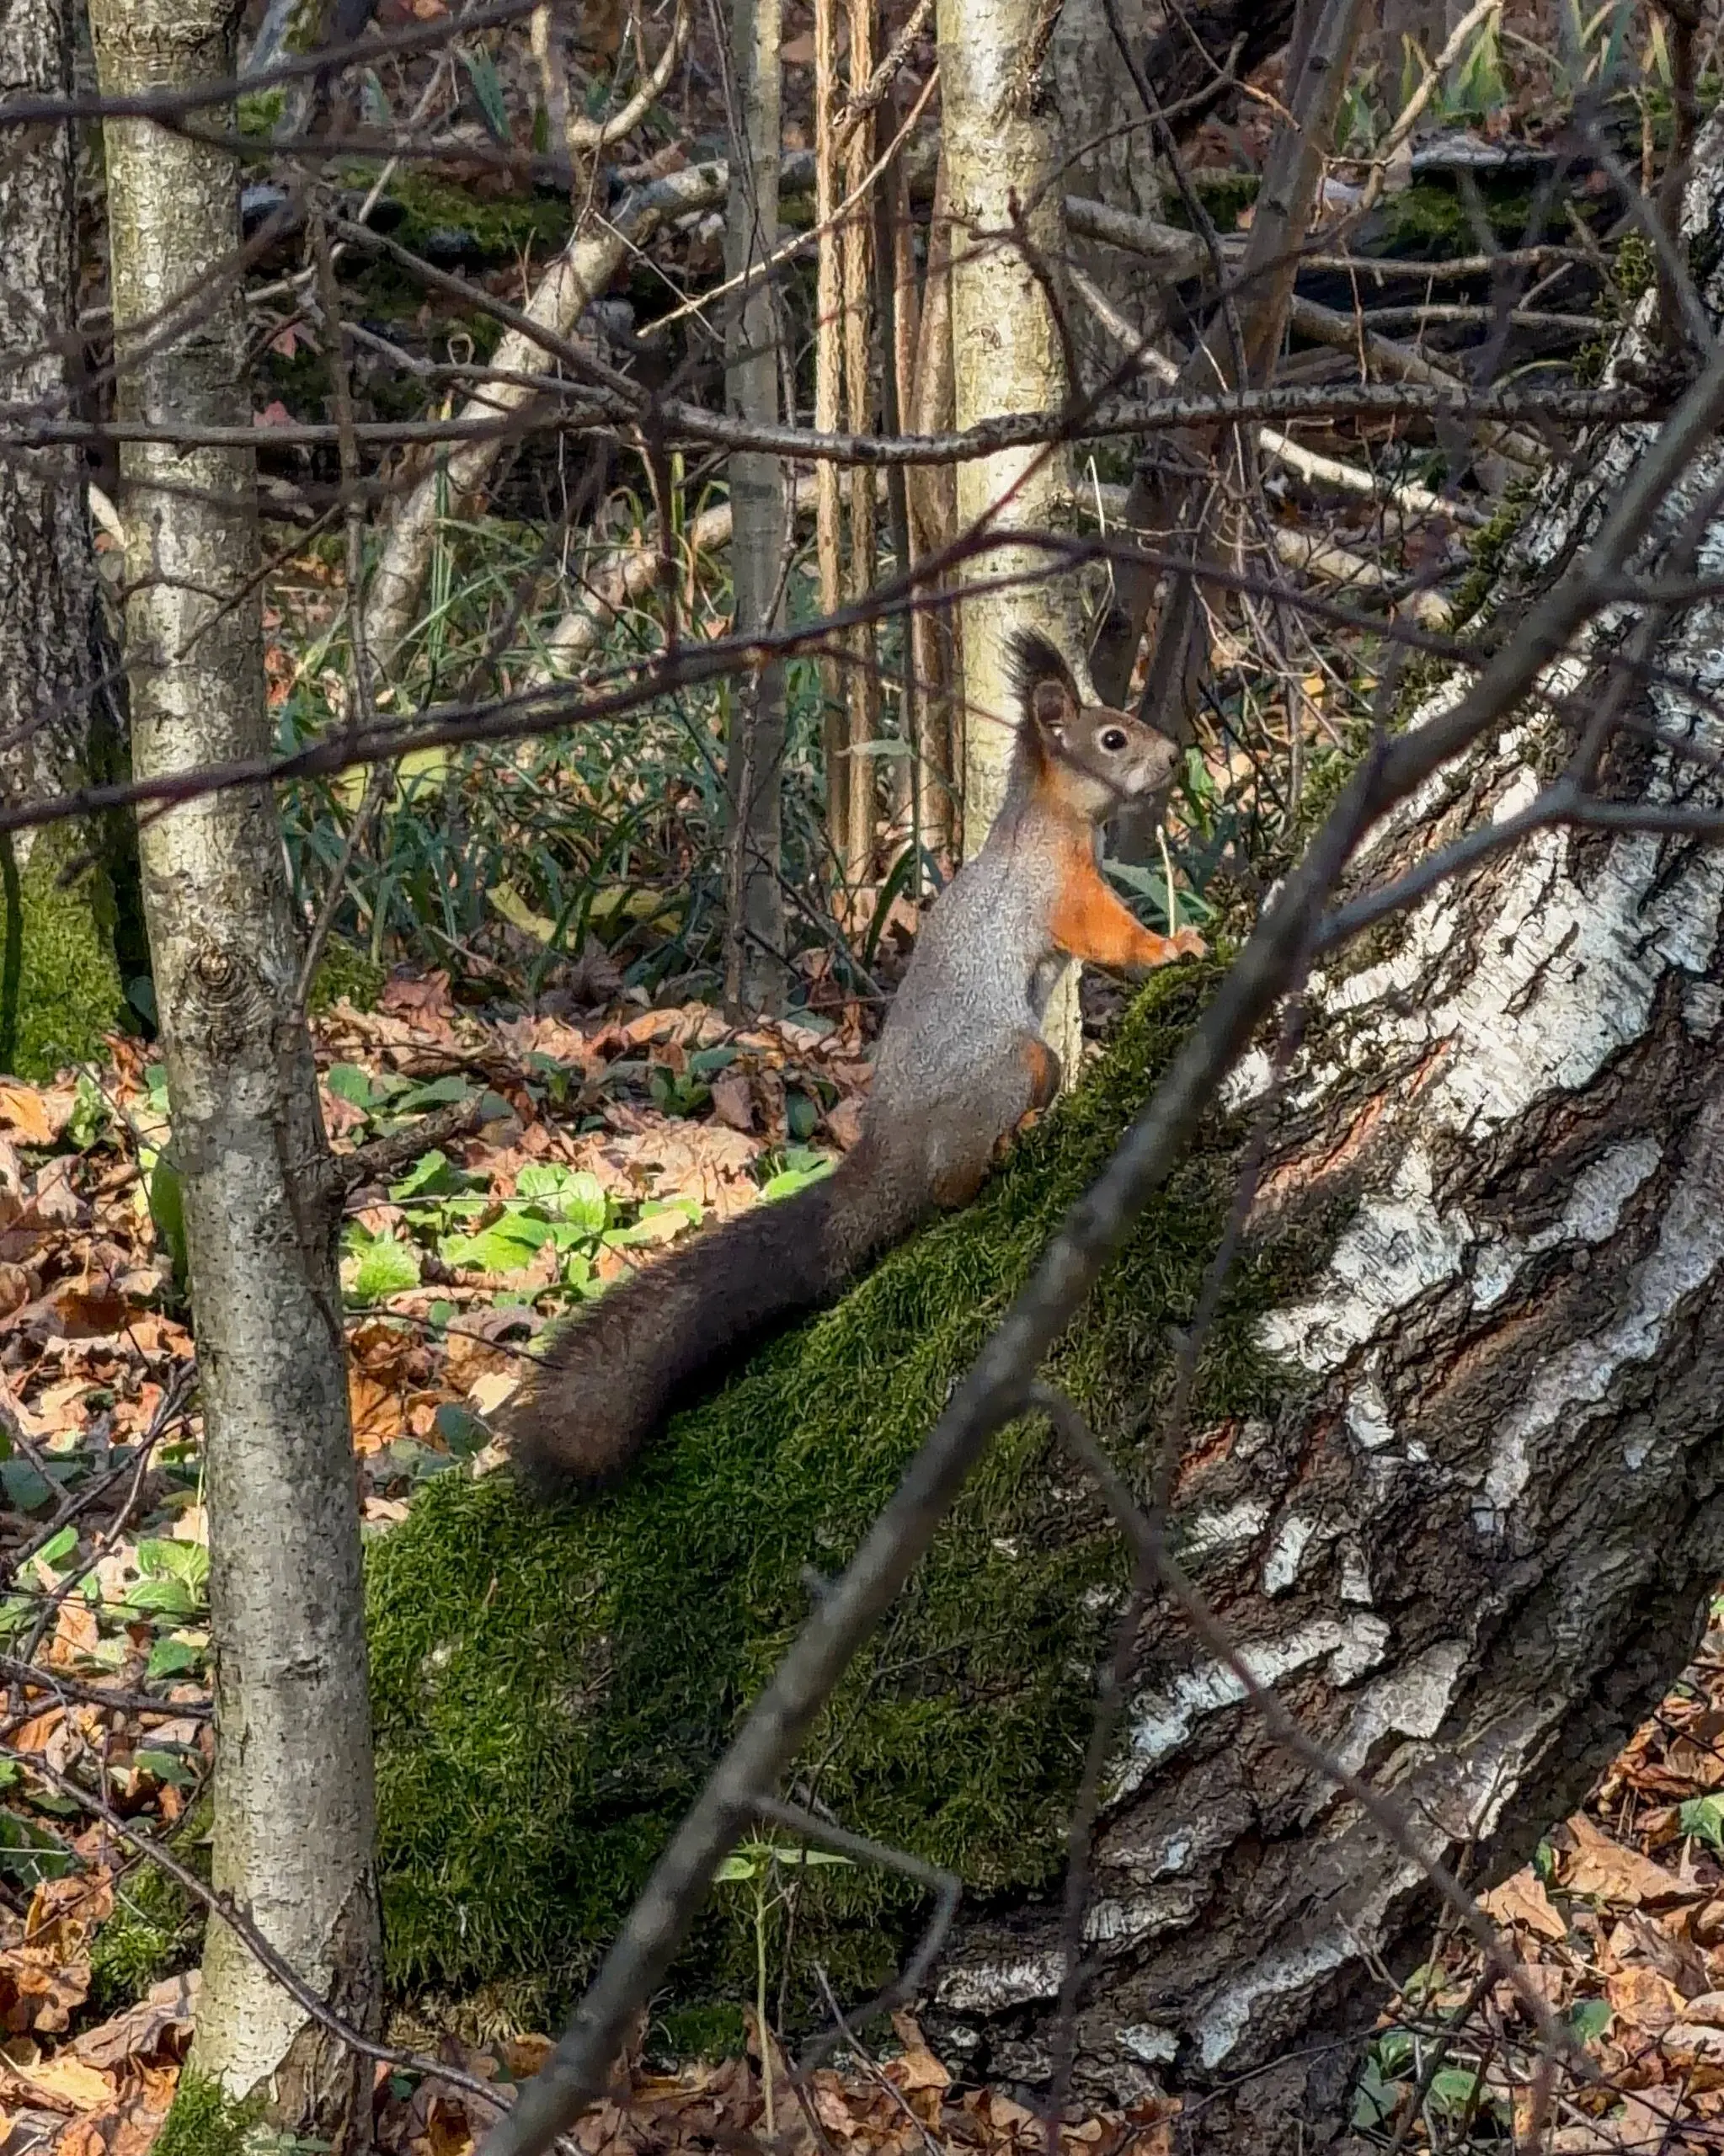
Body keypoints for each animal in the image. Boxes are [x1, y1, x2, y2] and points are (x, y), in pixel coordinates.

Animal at [506, 631, 1204, 1493]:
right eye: (1111, 738)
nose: (1174, 755)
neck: (1046, 821)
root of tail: (889, 1149)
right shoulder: (1061, 894)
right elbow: (1113, 939)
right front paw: (1174, 946)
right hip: (1017, 1060)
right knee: (948, 1185)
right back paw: (999, 1153)